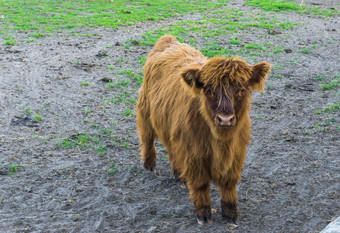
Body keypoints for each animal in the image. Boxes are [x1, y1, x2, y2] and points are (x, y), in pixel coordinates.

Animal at [135, 36, 270, 224]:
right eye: (210, 90)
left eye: (241, 89)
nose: (225, 119)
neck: (220, 141)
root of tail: (168, 39)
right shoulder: (194, 154)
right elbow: (200, 184)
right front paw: (203, 213)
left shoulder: (236, 152)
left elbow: (229, 183)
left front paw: (230, 212)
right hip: (145, 110)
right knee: (147, 138)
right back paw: (149, 165)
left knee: (172, 150)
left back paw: (180, 176)